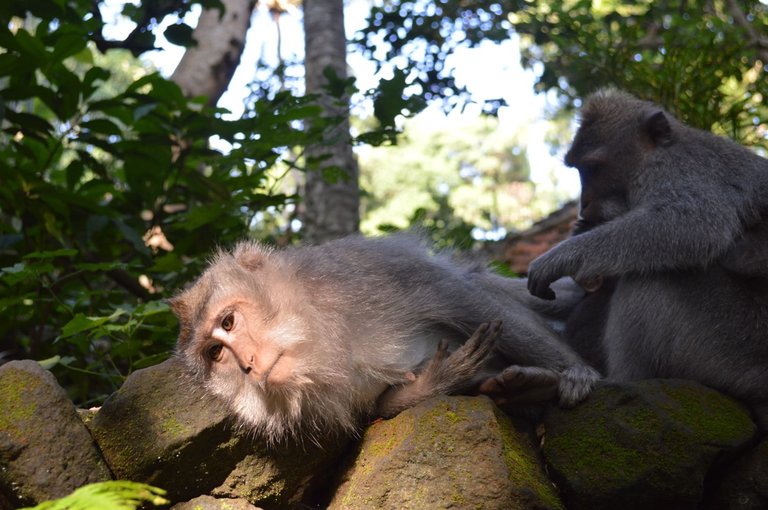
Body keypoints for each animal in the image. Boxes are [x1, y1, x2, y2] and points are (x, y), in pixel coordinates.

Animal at [171, 234, 604, 442]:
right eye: (215, 353)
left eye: (228, 321)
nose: (247, 363)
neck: (319, 327)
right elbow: (379, 404)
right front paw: (437, 381)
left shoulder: (359, 278)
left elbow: (454, 294)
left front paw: (577, 371)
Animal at [528, 88, 768, 426]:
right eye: (578, 169)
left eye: (593, 167)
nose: (583, 203)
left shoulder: (678, 170)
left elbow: (693, 225)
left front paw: (560, 257)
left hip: (734, 347)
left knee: (653, 278)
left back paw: (620, 381)